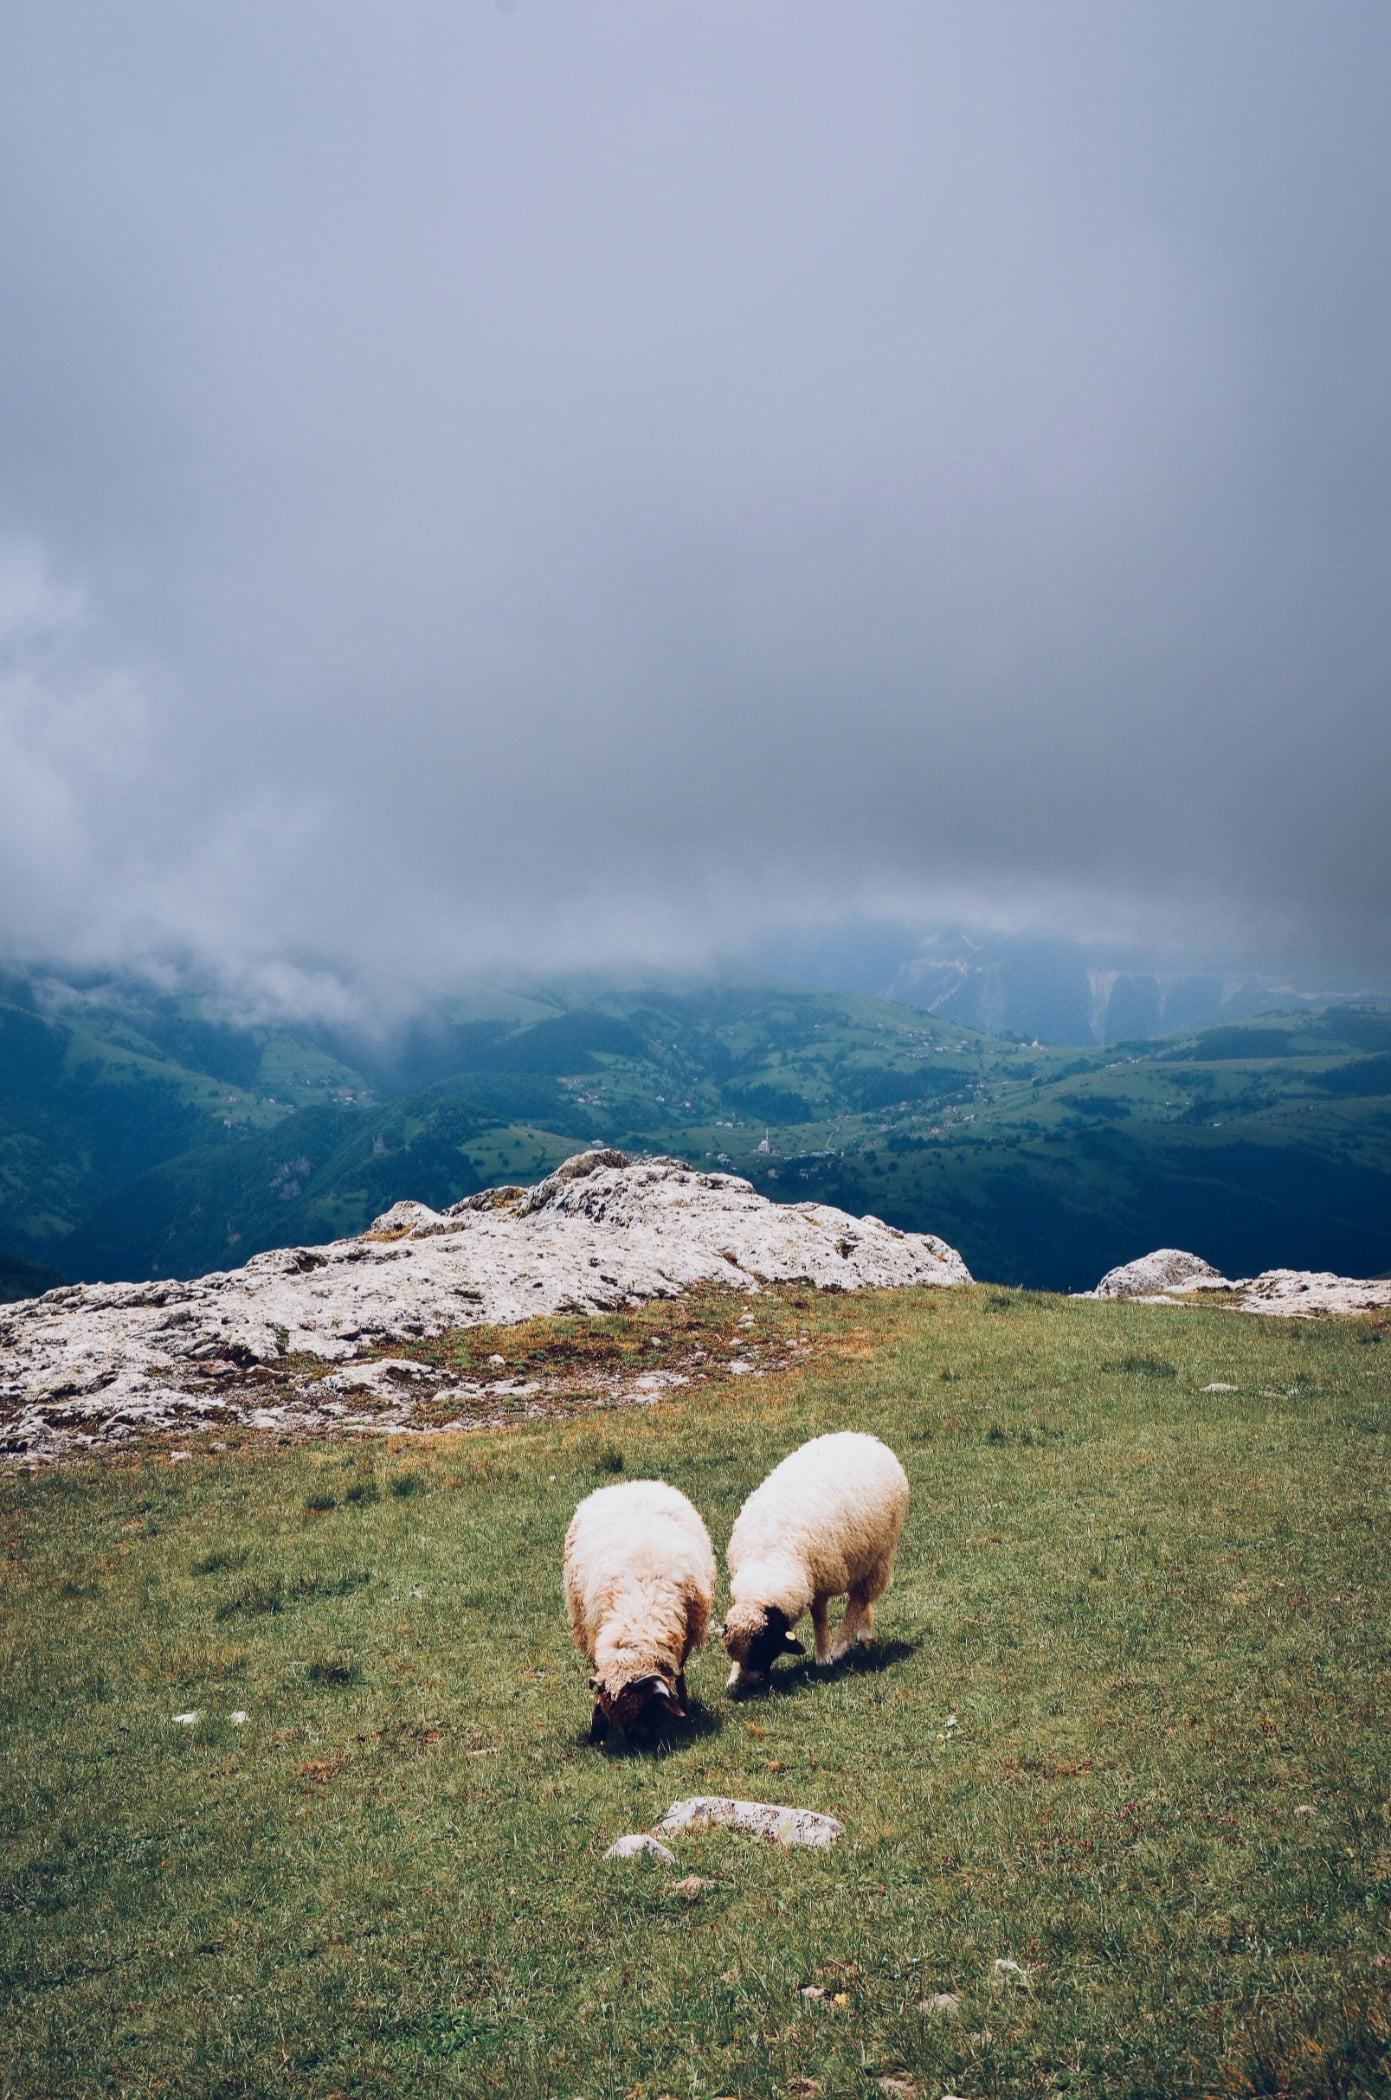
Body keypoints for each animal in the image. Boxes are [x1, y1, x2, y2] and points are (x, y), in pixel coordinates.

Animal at [722, 1427, 911, 1688]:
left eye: (763, 1646)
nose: (755, 1683)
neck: (767, 1559)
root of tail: (865, 1438)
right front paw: (733, 1676)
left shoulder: (819, 1581)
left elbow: (819, 1619)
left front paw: (824, 1656)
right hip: (860, 1556)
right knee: (861, 1600)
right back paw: (865, 1635)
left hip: (881, 1554)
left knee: (859, 1600)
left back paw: (841, 1646)